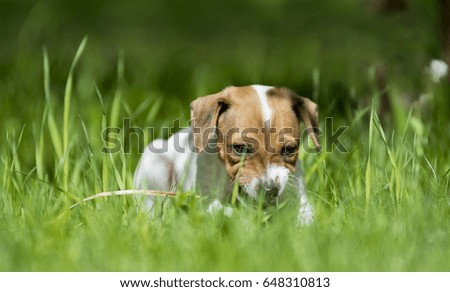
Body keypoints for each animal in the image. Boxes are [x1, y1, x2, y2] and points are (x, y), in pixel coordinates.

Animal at [134, 84, 320, 224]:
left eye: (289, 149)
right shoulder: (206, 201)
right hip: (153, 166)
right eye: (240, 148)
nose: (270, 191)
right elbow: (229, 213)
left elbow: (307, 218)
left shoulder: (299, 198)